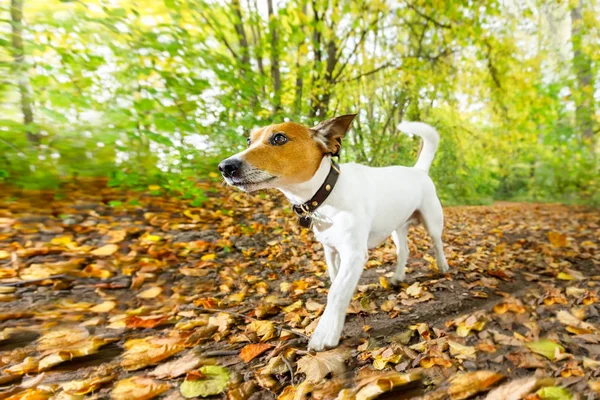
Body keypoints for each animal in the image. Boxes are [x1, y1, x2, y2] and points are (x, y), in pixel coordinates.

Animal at [218, 115, 448, 350]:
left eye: (279, 138)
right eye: (249, 141)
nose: (225, 166)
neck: (327, 193)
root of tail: (418, 170)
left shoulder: (353, 254)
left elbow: (336, 292)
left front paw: (325, 334)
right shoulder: (330, 250)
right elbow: (335, 281)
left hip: (432, 221)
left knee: (437, 243)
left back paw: (442, 267)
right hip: (397, 227)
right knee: (404, 251)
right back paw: (398, 276)